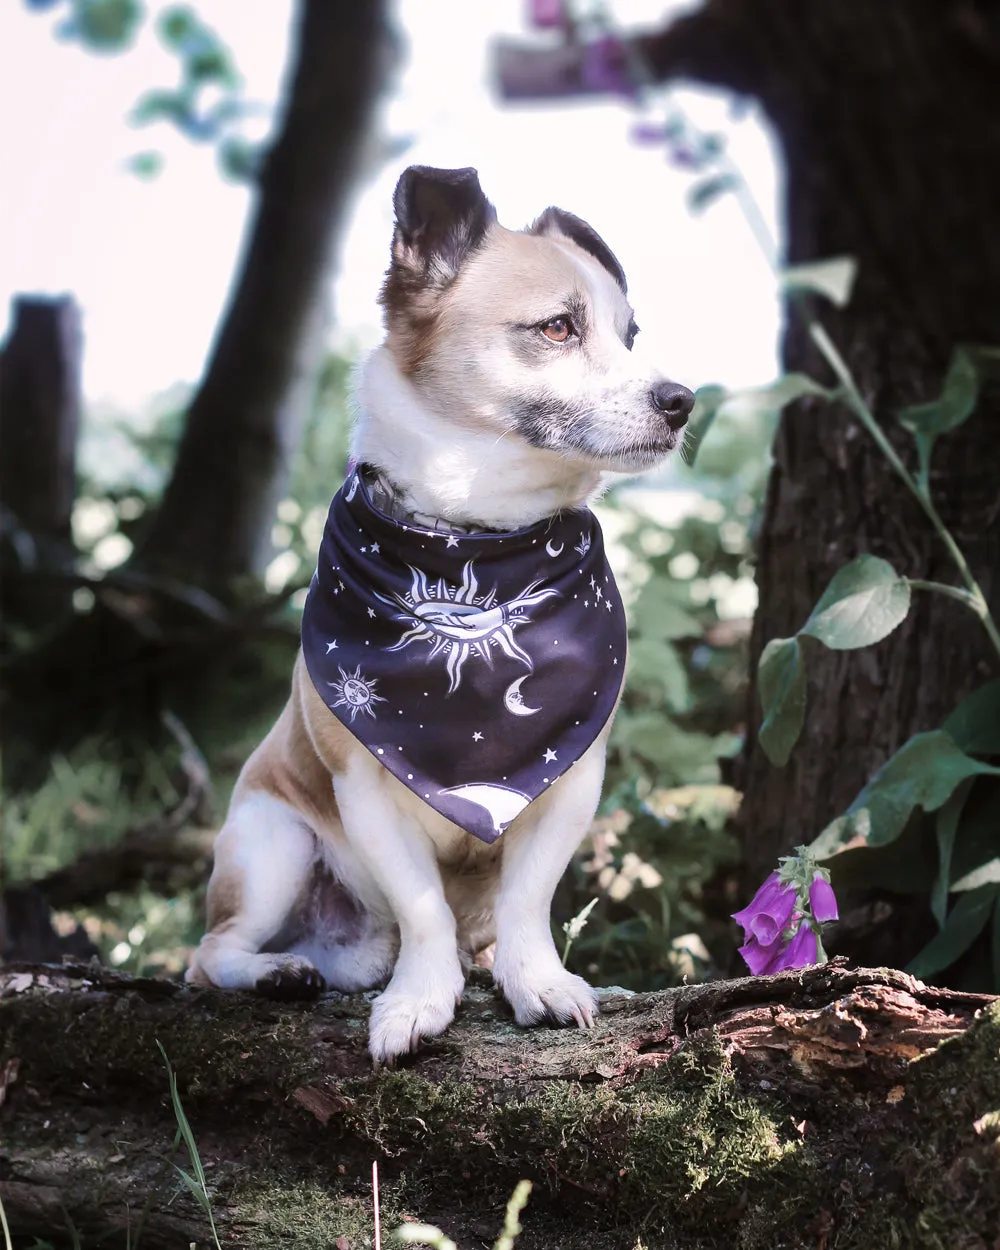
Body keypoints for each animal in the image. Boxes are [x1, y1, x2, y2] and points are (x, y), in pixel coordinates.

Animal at [187, 166, 690, 1065]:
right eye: (558, 327)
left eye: (631, 333)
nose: (683, 400)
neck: (474, 544)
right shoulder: (367, 795)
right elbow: (422, 906)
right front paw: (419, 1000)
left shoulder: (571, 784)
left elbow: (528, 899)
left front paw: (540, 981)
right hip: (271, 841)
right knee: (209, 954)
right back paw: (277, 972)